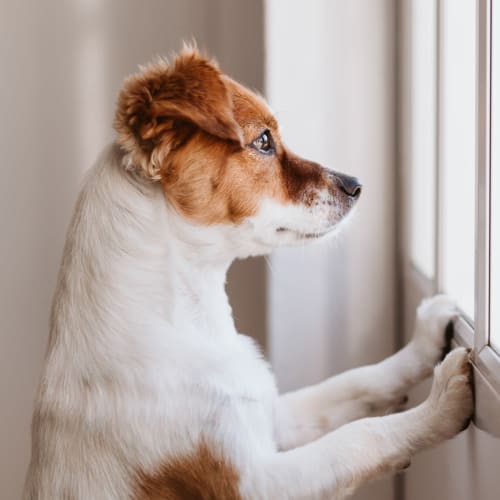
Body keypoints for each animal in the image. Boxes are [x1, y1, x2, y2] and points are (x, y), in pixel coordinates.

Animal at [25, 47, 474, 500]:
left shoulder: (273, 417)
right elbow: (360, 437)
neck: (190, 320)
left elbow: (357, 382)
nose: (356, 185)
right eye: (263, 141)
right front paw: (441, 405)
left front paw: (425, 340)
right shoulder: (254, 482)